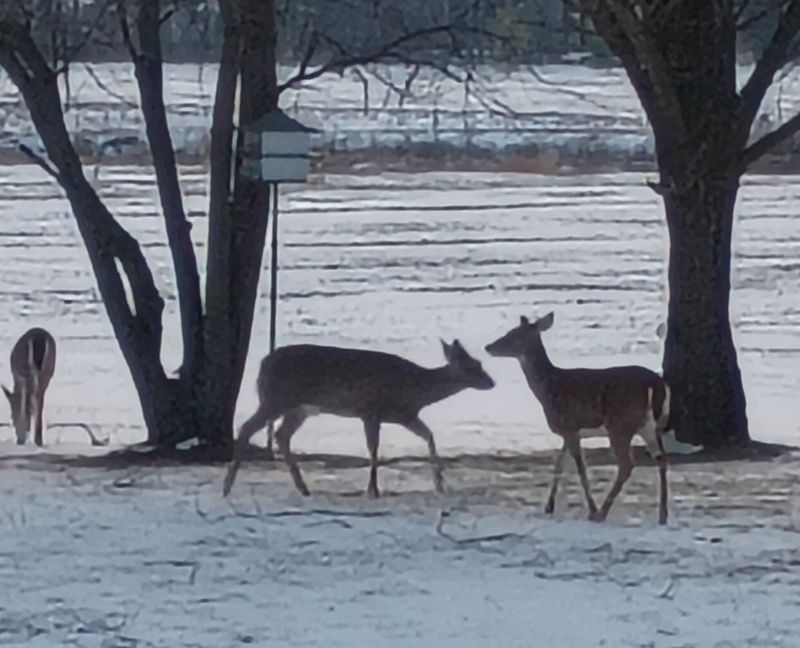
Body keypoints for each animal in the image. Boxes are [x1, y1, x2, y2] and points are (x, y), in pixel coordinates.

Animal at [223, 339, 495, 498]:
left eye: (479, 363)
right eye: (473, 367)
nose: (491, 382)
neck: (415, 388)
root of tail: (263, 363)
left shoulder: (404, 415)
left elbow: (428, 435)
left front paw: (440, 484)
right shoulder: (370, 411)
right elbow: (373, 450)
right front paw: (373, 490)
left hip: (298, 408)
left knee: (281, 436)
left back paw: (304, 488)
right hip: (276, 398)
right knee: (247, 428)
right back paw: (227, 486)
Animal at [485, 313, 669, 525]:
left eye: (514, 335)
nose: (488, 347)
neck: (548, 389)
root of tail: (656, 383)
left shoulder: (569, 426)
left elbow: (581, 470)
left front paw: (591, 509)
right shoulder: (568, 432)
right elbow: (559, 465)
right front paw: (549, 507)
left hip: (620, 425)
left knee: (627, 464)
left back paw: (601, 513)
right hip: (652, 425)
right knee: (662, 460)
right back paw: (663, 515)